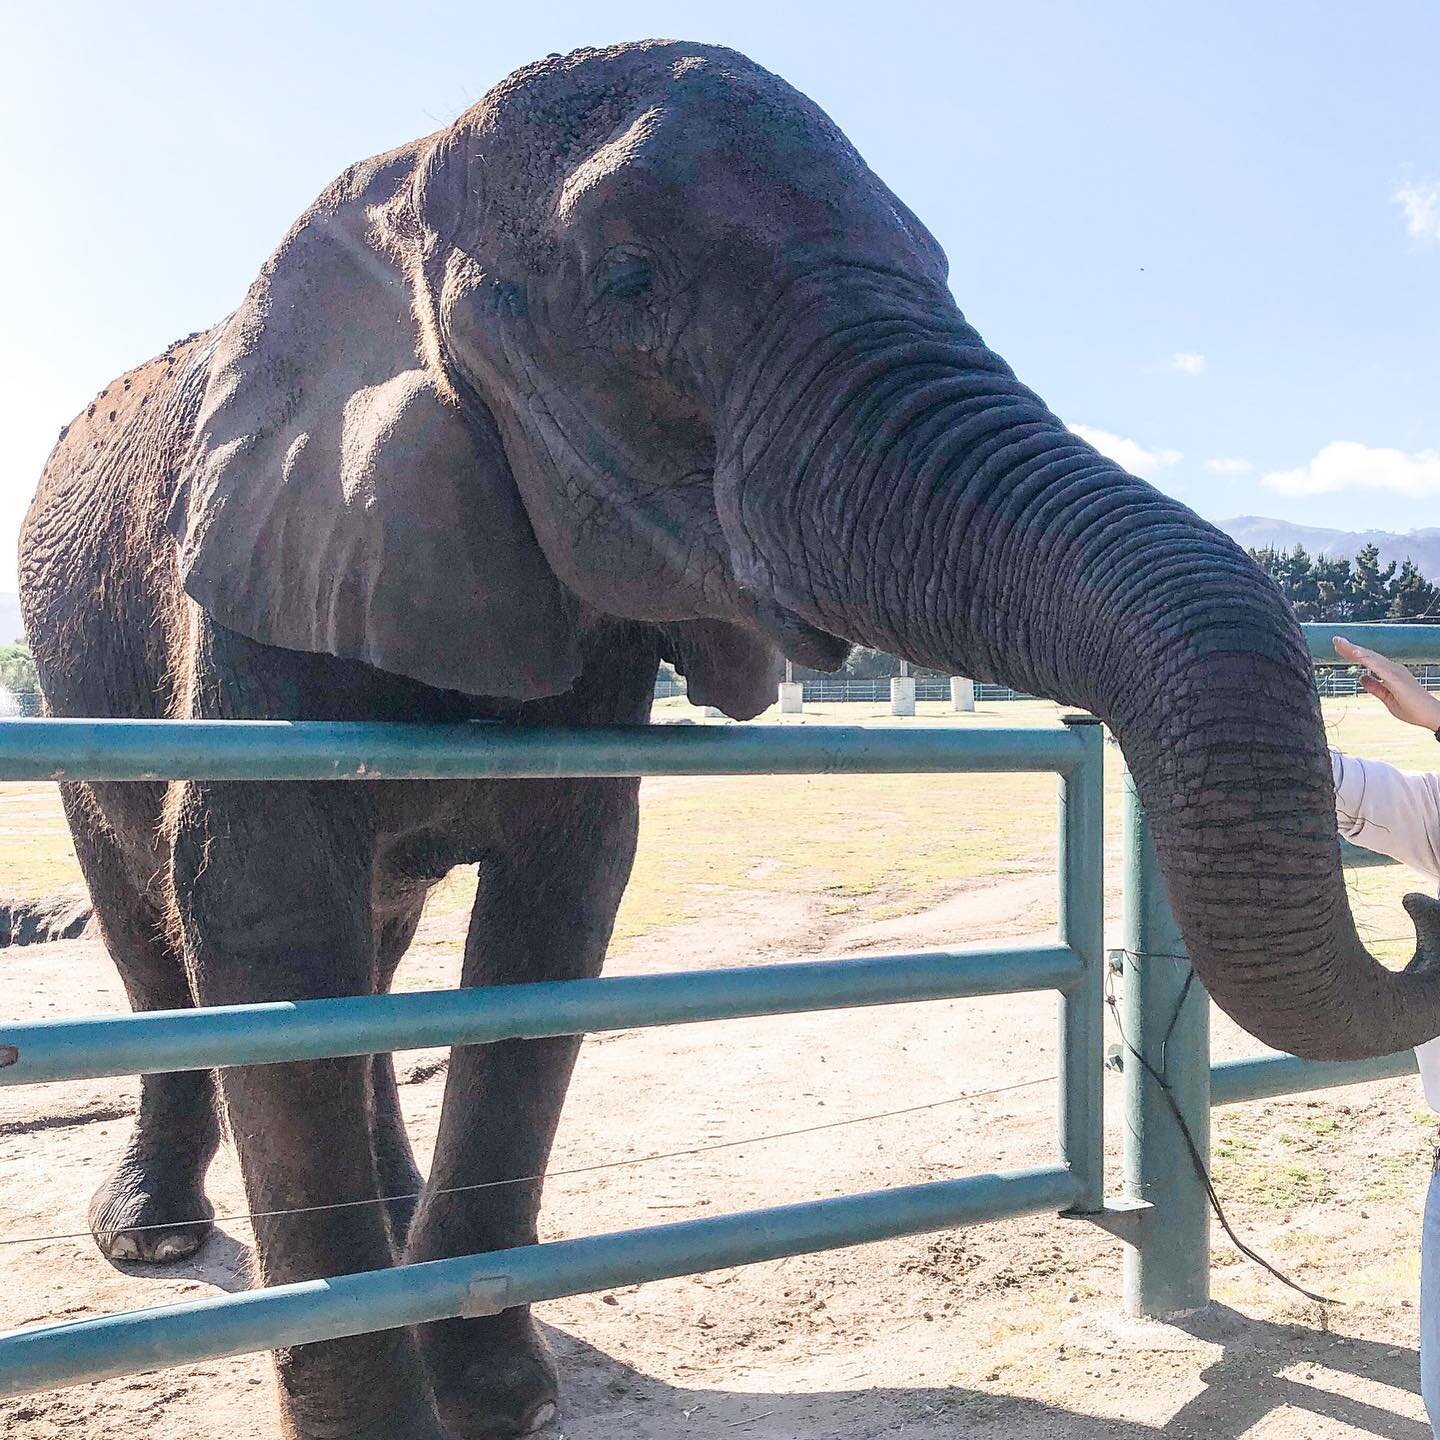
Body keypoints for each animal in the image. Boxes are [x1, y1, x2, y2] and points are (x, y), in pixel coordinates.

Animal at [19, 33, 1440, 1440]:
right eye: (630, 280)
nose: (1419, 915)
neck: (411, 170)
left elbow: (559, 912)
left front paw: (504, 1403)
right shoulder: (268, 561)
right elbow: (257, 904)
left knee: (371, 941)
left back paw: (392, 1206)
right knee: (161, 926)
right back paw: (154, 1237)